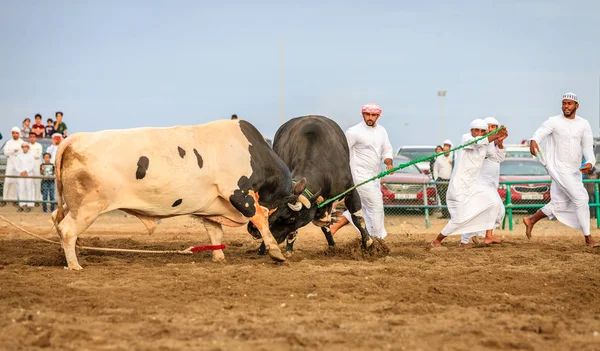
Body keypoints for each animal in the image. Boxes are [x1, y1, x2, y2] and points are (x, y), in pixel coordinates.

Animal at [250, 115, 372, 256]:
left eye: (290, 218)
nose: (253, 229)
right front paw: (286, 249)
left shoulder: (350, 191)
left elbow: (358, 218)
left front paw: (369, 243)